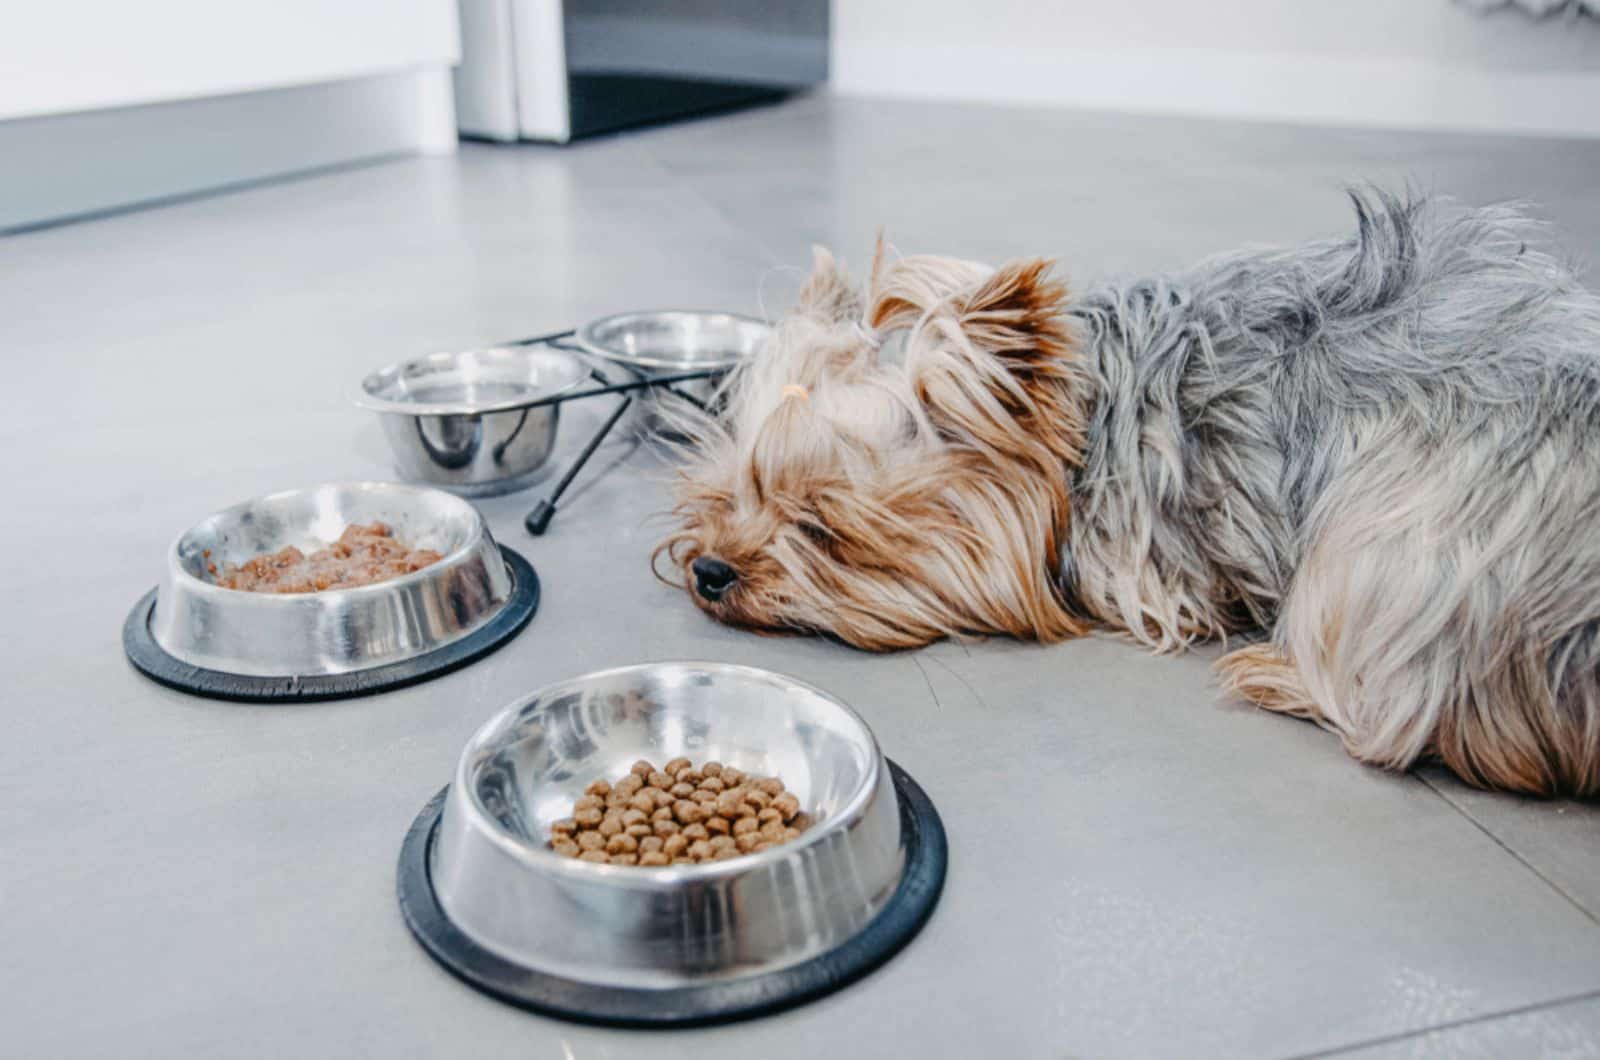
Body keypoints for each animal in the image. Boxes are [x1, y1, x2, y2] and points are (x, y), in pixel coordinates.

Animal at [656, 191, 1600, 797]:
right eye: (721, 493)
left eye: (822, 525)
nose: (710, 572)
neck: (1080, 427)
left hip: (1400, 526)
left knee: (1381, 711)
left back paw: (1275, 671)